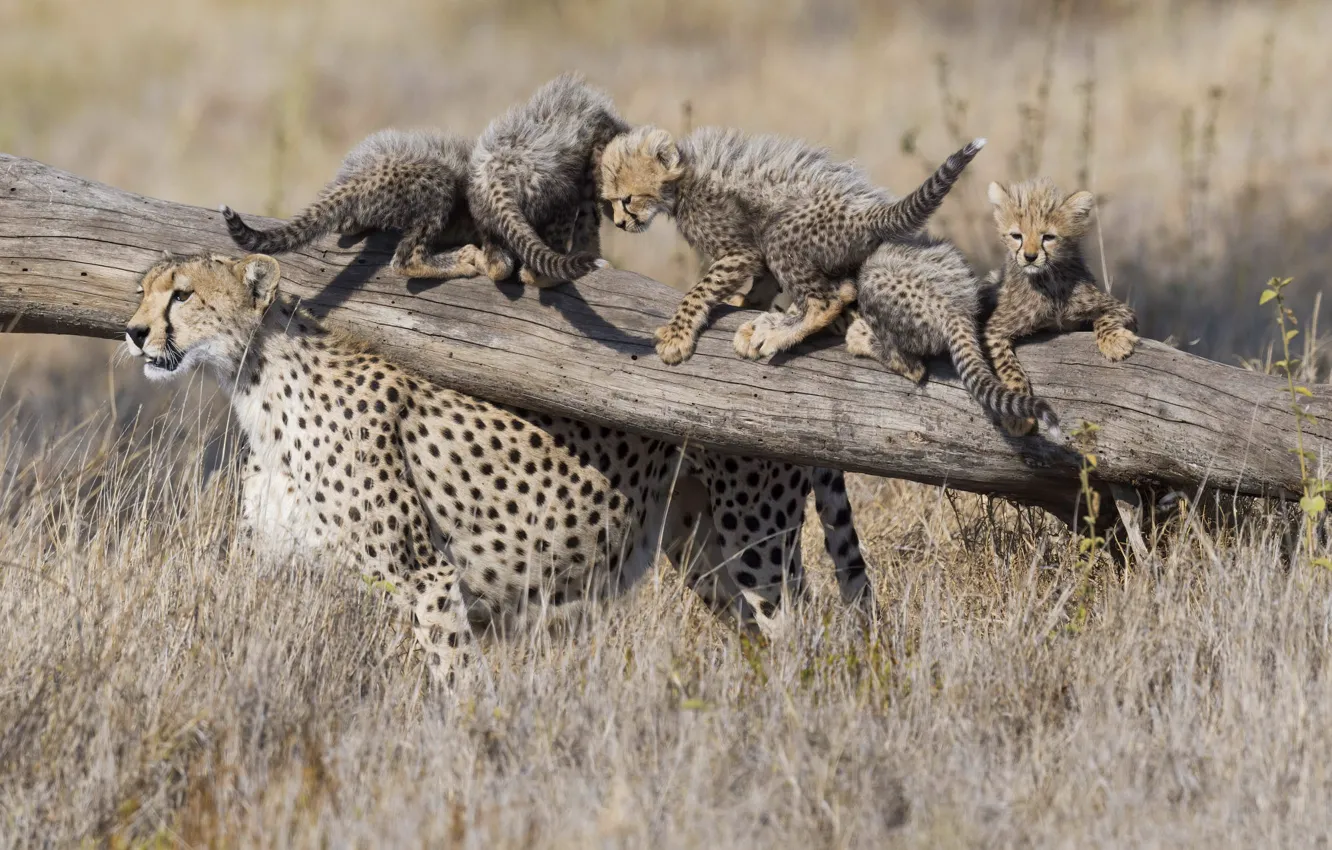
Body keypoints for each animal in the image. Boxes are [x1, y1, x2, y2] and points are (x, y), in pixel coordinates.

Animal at [123, 251, 874, 685]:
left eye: (182, 295)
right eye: (143, 292)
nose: (133, 332)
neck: (255, 384)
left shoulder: (426, 578)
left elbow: (454, 682)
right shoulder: (280, 571)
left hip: (757, 542)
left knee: (800, 634)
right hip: (703, 548)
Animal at [468, 72, 629, 288]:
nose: (622, 221)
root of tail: (496, 178)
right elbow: (590, 219)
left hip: (490, 223)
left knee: (500, 266)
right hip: (558, 199)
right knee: (531, 271)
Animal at [597, 125, 985, 365]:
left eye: (627, 199)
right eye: (610, 201)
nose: (619, 223)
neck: (683, 181)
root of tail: (866, 210)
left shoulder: (741, 250)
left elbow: (699, 290)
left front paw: (676, 335)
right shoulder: (754, 254)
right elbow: (762, 282)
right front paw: (747, 303)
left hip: (783, 233)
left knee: (831, 297)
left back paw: (777, 334)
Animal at [984, 178, 1138, 436]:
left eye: (1048, 237)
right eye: (1016, 235)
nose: (1030, 256)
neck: (1048, 279)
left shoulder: (1118, 307)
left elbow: (1104, 319)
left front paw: (1114, 343)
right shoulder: (994, 329)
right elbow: (1008, 366)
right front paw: (1018, 414)